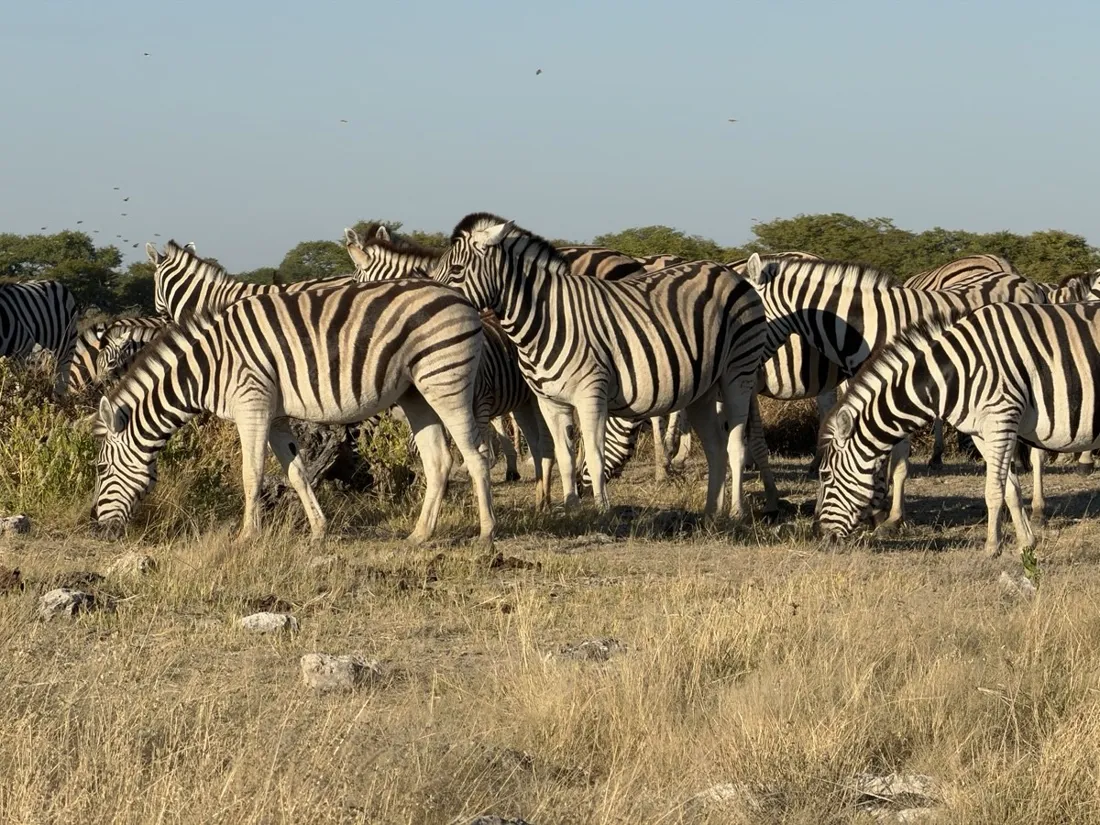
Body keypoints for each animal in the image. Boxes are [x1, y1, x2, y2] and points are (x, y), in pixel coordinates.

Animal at [91, 281, 496, 545]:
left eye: (101, 468)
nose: (97, 528)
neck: (209, 367)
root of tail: (461, 298)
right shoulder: (275, 417)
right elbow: (297, 473)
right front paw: (319, 530)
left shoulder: (252, 405)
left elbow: (251, 474)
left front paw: (246, 536)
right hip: (416, 394)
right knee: (439, 461)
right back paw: (419, 535)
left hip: (445, 382)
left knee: (476, 456)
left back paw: (486, 533)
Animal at [430, 213, 768, 516]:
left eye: (457, 269)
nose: (437, 301)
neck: (545, 320)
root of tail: (727, 271)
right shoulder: (550, 402)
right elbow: (565, 458)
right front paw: (572, 510)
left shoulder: (591, 395)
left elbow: (593, 456)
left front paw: (602, 512)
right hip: (703, 388)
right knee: (715, 447)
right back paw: (712, 513)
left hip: (738, 372)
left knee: (735, 445)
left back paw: (736, 512)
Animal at [744, 253, 1048, 530]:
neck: (862, 326)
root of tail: (1027, 282)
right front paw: (874, 508)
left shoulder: (898, 386)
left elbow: (896, 458)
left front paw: (891, 515)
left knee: (1036, 449)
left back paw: (1037, 508)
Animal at [815, 302, 1100, 555]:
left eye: (825, 475)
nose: (823, 537)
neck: (953, 374)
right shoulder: (982, 432)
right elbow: (1010, 489)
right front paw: (1026, 544)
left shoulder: (1001, 418)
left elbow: (993, 490)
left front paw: (992, 547)